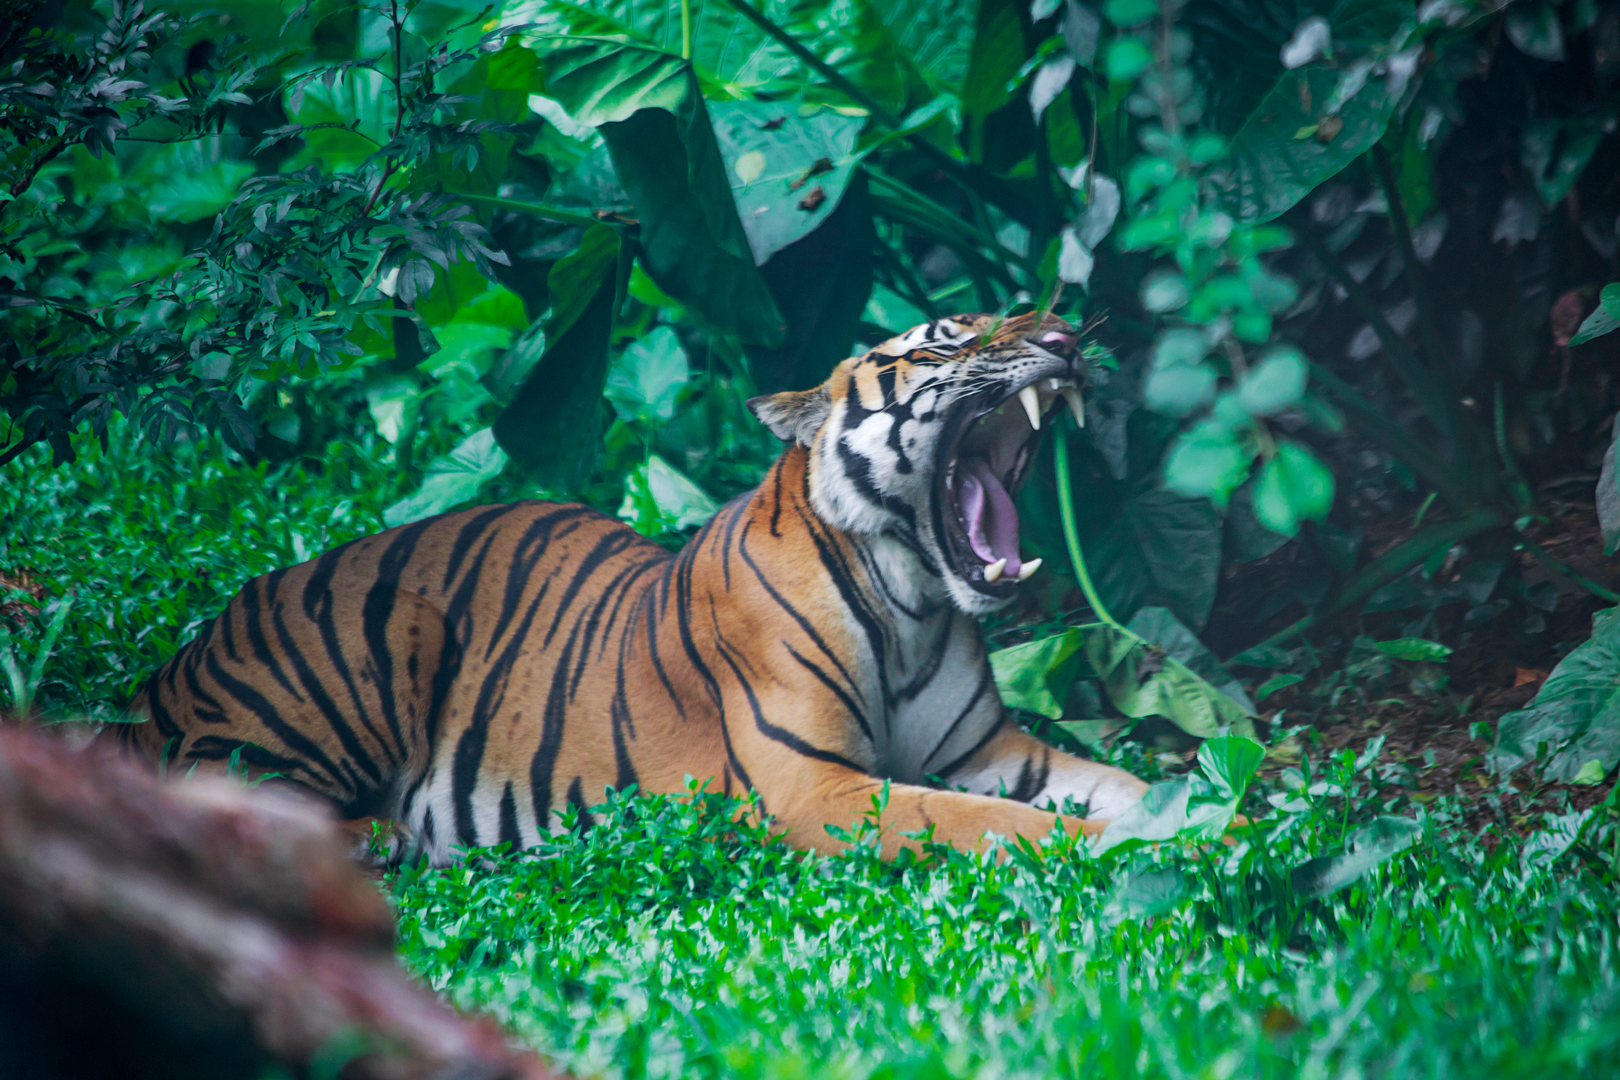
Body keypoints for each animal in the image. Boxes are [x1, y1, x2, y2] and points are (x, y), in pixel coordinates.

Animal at [118, 311, 1148, 864]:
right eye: (943, 344)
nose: (1068, 336)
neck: (914, 601)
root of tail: (169, 669)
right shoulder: (815, 787)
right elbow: (993, 822)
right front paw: (1146, 847)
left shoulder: (989, 749)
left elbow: (1111, 782)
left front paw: (1183, 813)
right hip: (376, 639)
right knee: (228, 797)